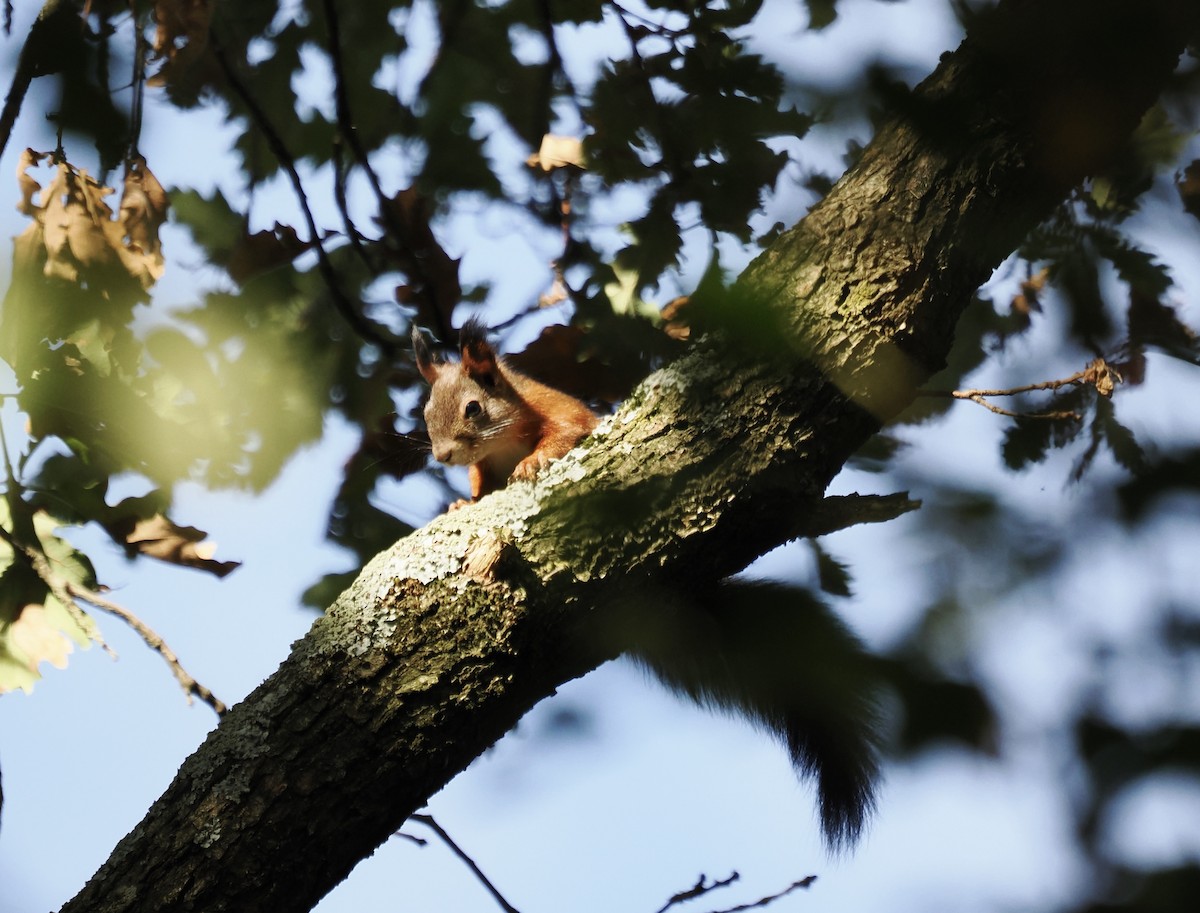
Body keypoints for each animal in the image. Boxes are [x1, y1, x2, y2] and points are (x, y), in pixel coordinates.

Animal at [412, 319, 599, 505]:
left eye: (472, 408)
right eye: (426, 414)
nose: (442, 456)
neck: (502, 446)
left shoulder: (555, 406)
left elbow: (567, 429)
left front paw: (532, 461)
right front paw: (464, 503)